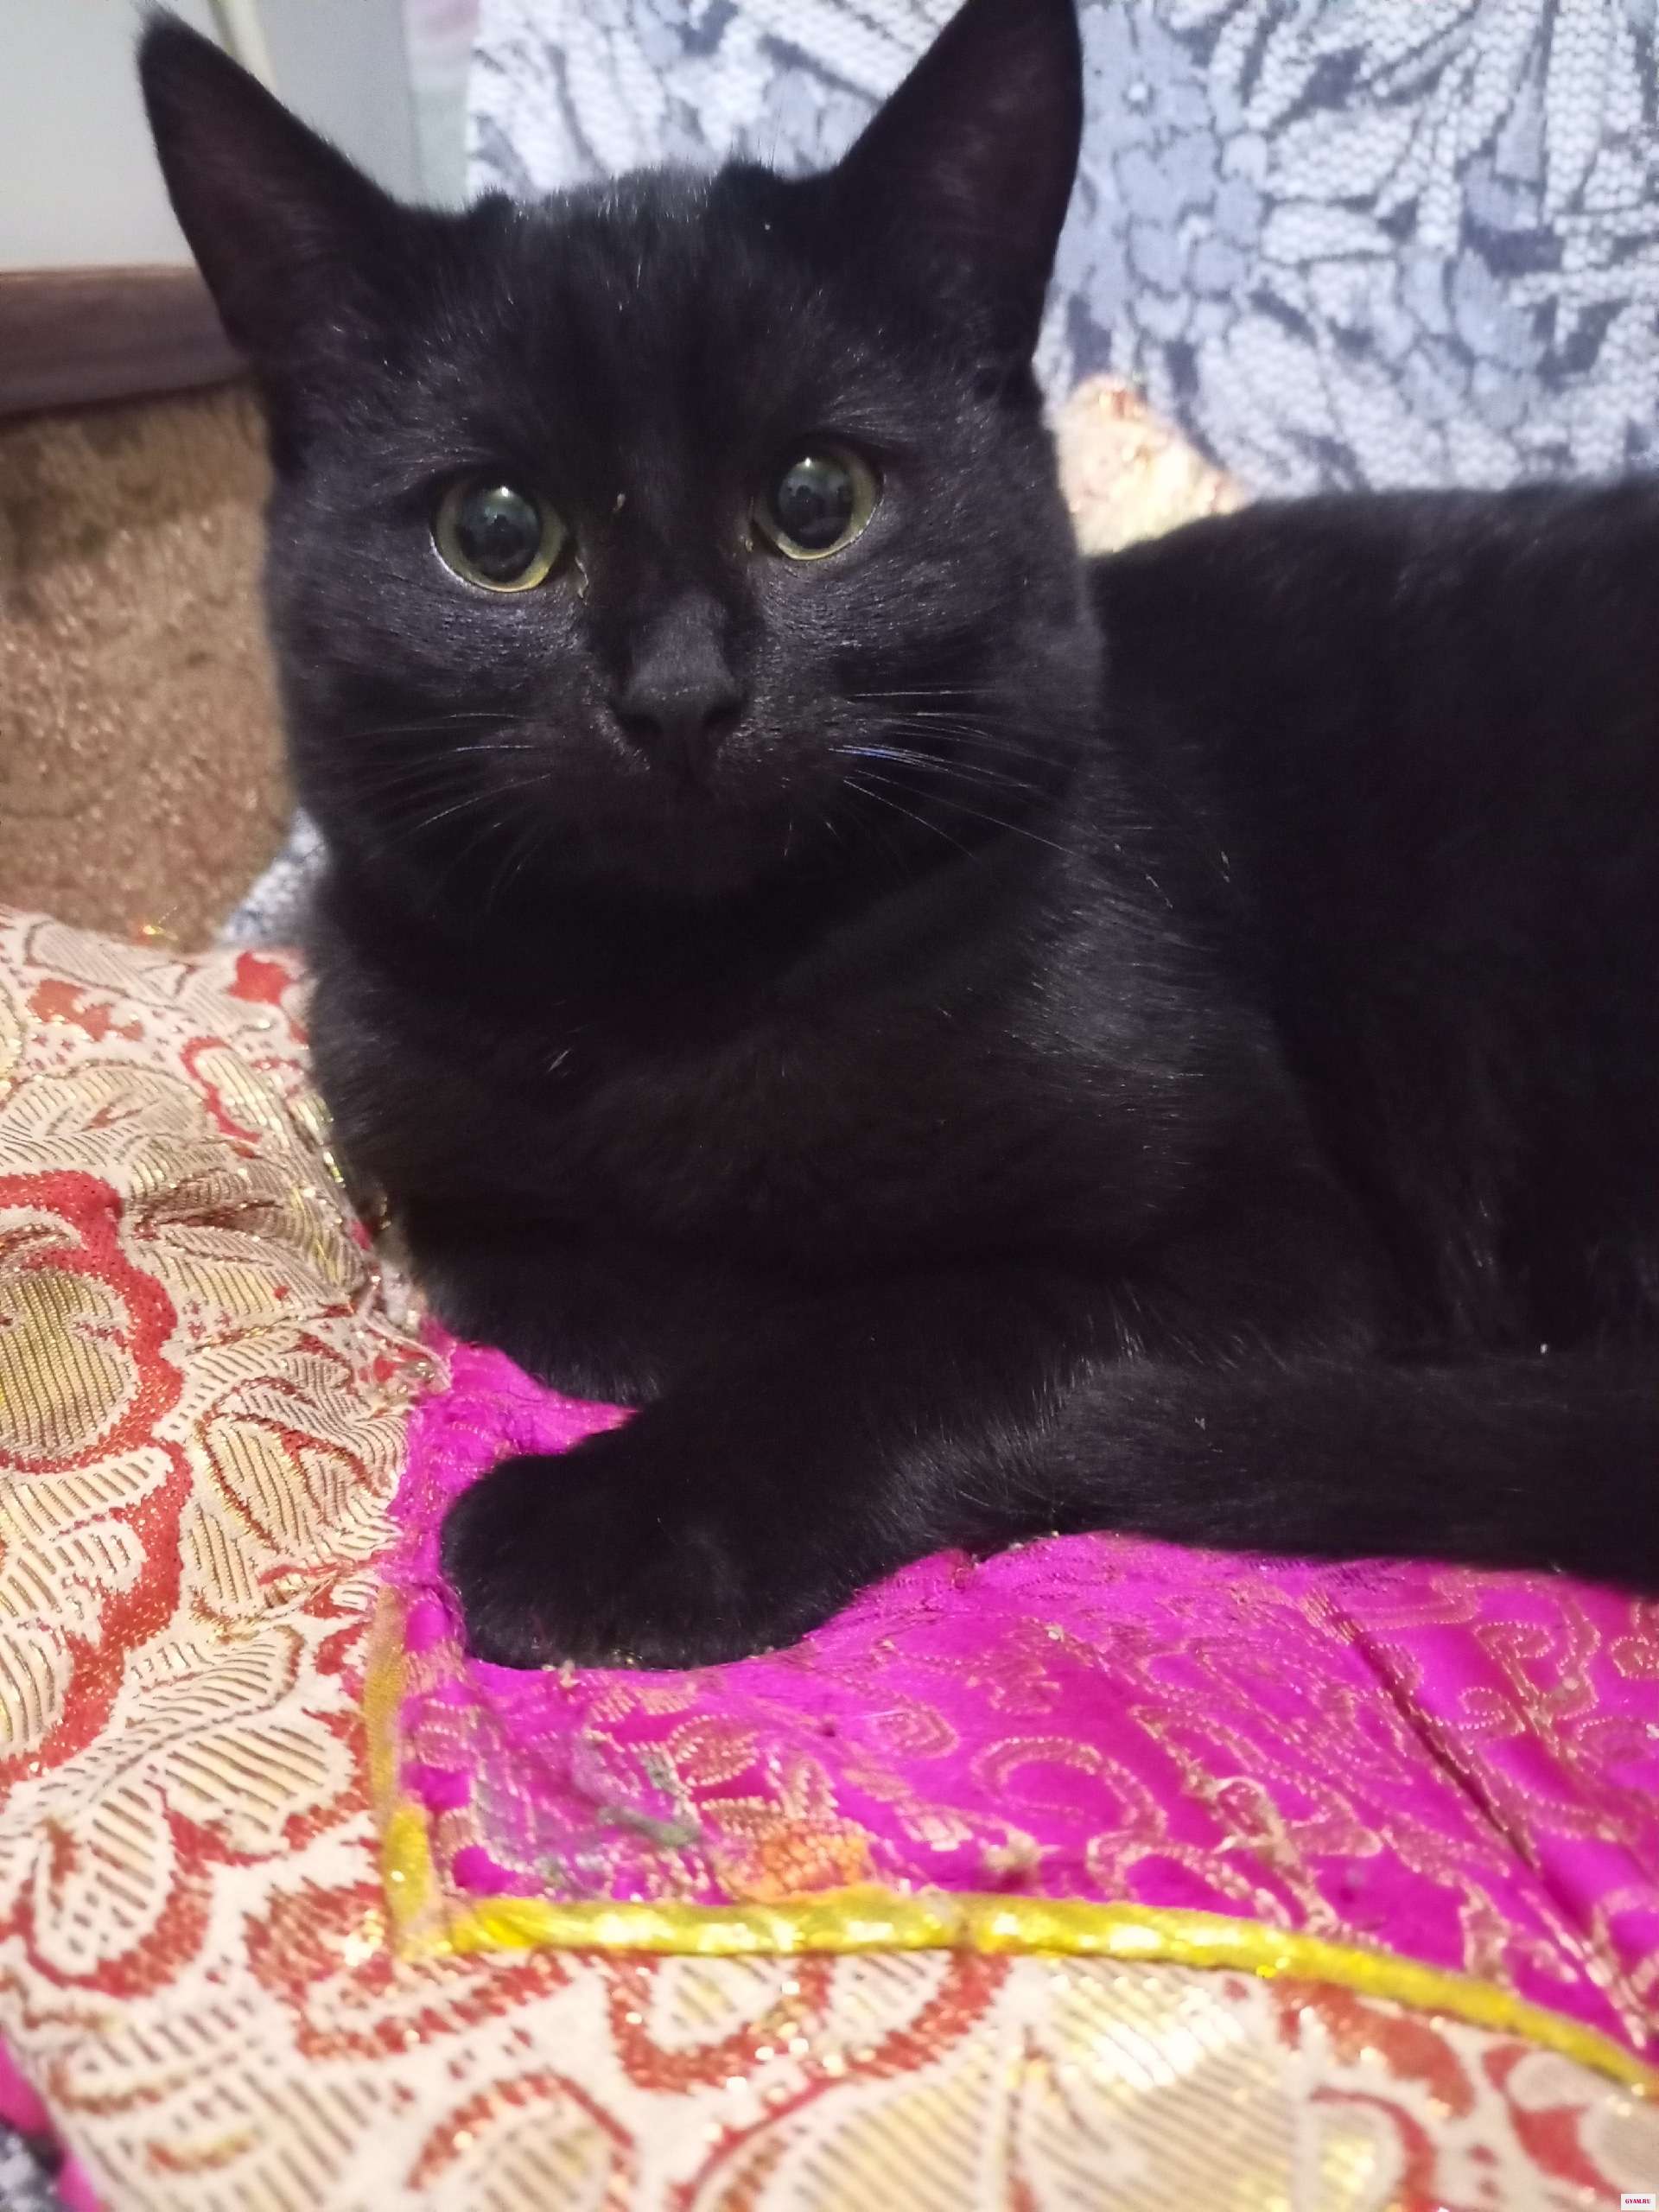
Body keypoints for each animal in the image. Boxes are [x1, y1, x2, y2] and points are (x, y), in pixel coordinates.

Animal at [141, 0, 1659, 1670]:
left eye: (821, 499)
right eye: (496, 534)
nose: (679, 691)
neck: (684, 1000)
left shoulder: (1275, 1254)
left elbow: (923, 1324)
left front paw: (615, 1518)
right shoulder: (430, 1152)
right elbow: (540, 1266)